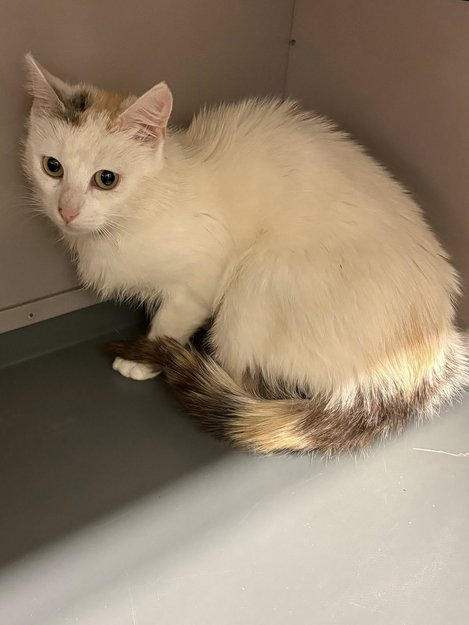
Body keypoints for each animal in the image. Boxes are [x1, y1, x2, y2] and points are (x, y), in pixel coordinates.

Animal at [23, 53, 467, 454]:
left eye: (106, 179)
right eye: (52, 167)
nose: (66, 211)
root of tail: (428, 359)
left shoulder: (200, 278)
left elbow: (170, 321)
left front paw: (145, 357)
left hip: (256, 282)